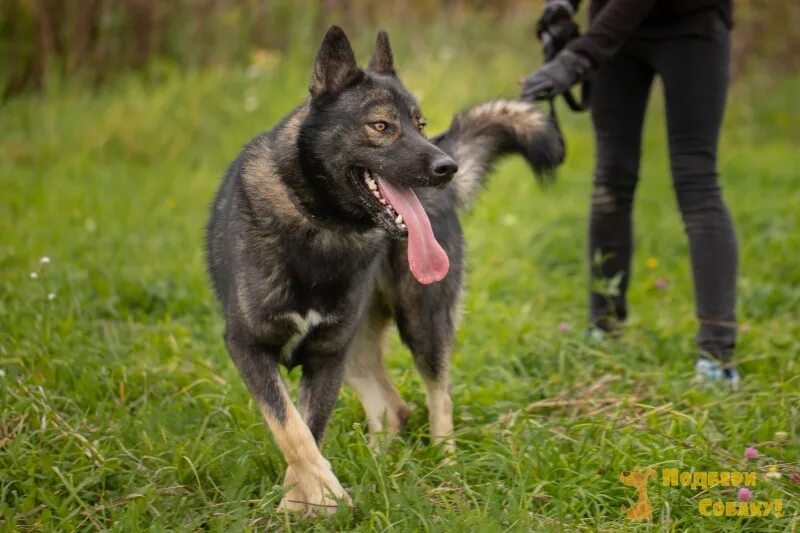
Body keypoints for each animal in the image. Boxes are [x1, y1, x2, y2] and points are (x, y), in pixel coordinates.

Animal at [203, 25, 560, 512]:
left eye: (419, 124)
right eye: (380, 126)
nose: (447, 168)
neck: (323, 225)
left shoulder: (327, 356)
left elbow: (307, 431)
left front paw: (307, 504)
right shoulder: (251, 348)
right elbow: (293, 431)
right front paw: (317, 499)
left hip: (421, 325)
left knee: (438, 400)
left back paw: (445, 469)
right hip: (357, 348)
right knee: (393, 409)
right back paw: (379, 465)